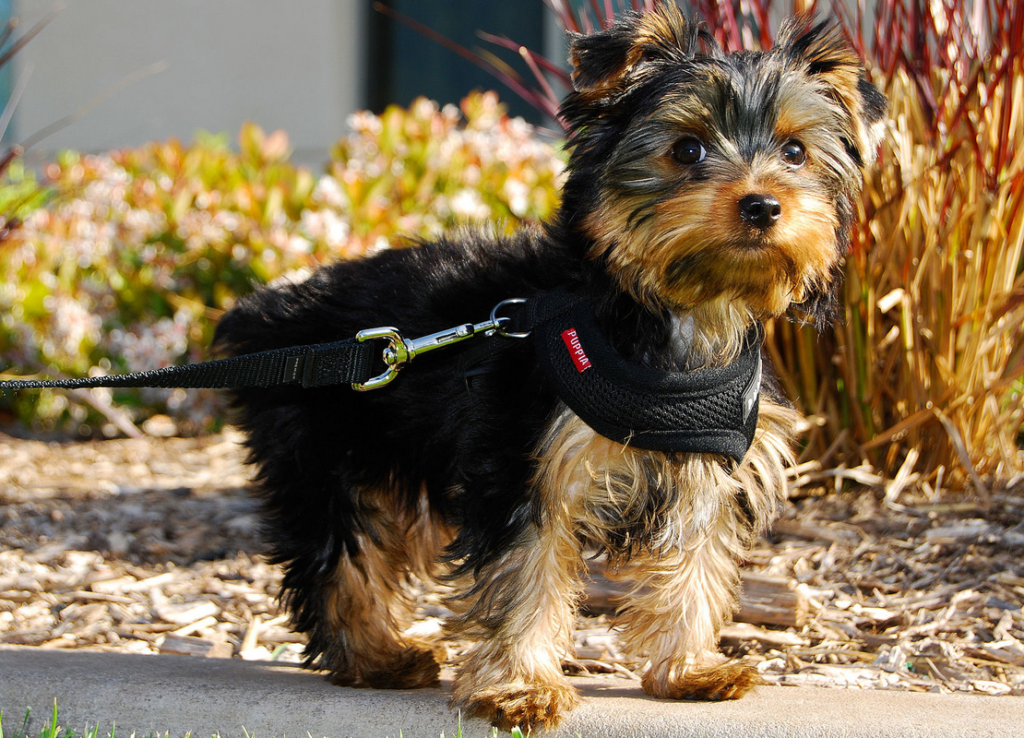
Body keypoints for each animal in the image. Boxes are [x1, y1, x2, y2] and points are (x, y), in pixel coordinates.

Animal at [211, 4, 884, 732]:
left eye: (795, 152)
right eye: (688, 149)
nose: (762, 205)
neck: (677, 314)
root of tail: (268, 312)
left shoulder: (707, 473)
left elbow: (694, 567)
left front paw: (688, 668)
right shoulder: (524, 457)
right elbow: (527, 573)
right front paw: (521, 687)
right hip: (327, 448)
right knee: (339, 553)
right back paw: (373, 657)